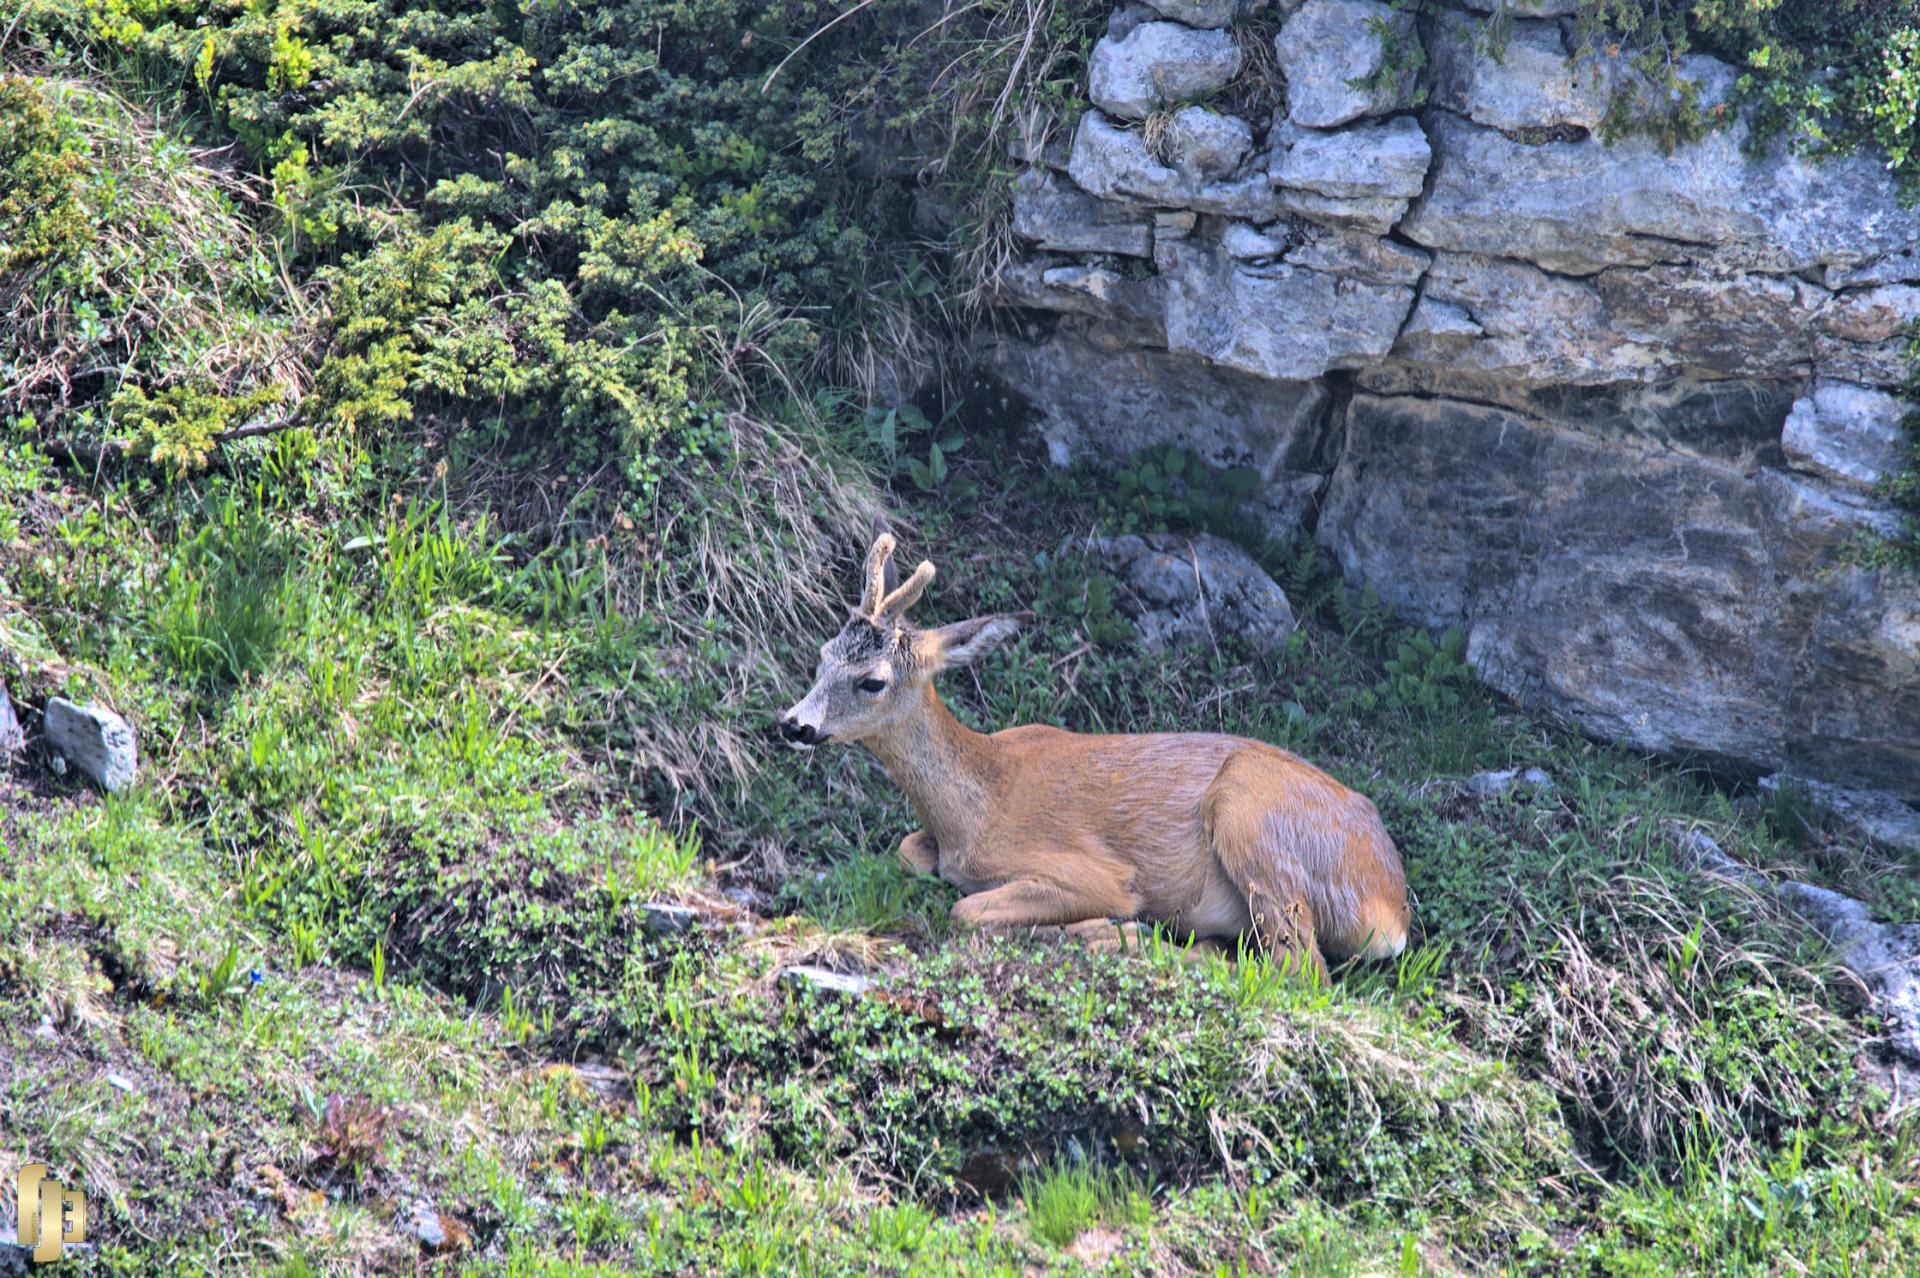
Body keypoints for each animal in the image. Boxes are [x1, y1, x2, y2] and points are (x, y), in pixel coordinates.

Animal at [775, 533, 1413, 970]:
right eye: (823, 654)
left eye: (872, 681)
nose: (794, 724)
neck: (977, 806)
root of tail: (1392, 908)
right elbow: (909, 852)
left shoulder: (1096, 872)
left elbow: (964, 910)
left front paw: (1089, 926)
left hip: (1252, 817)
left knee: (1298, 968)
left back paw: (1113, 935)